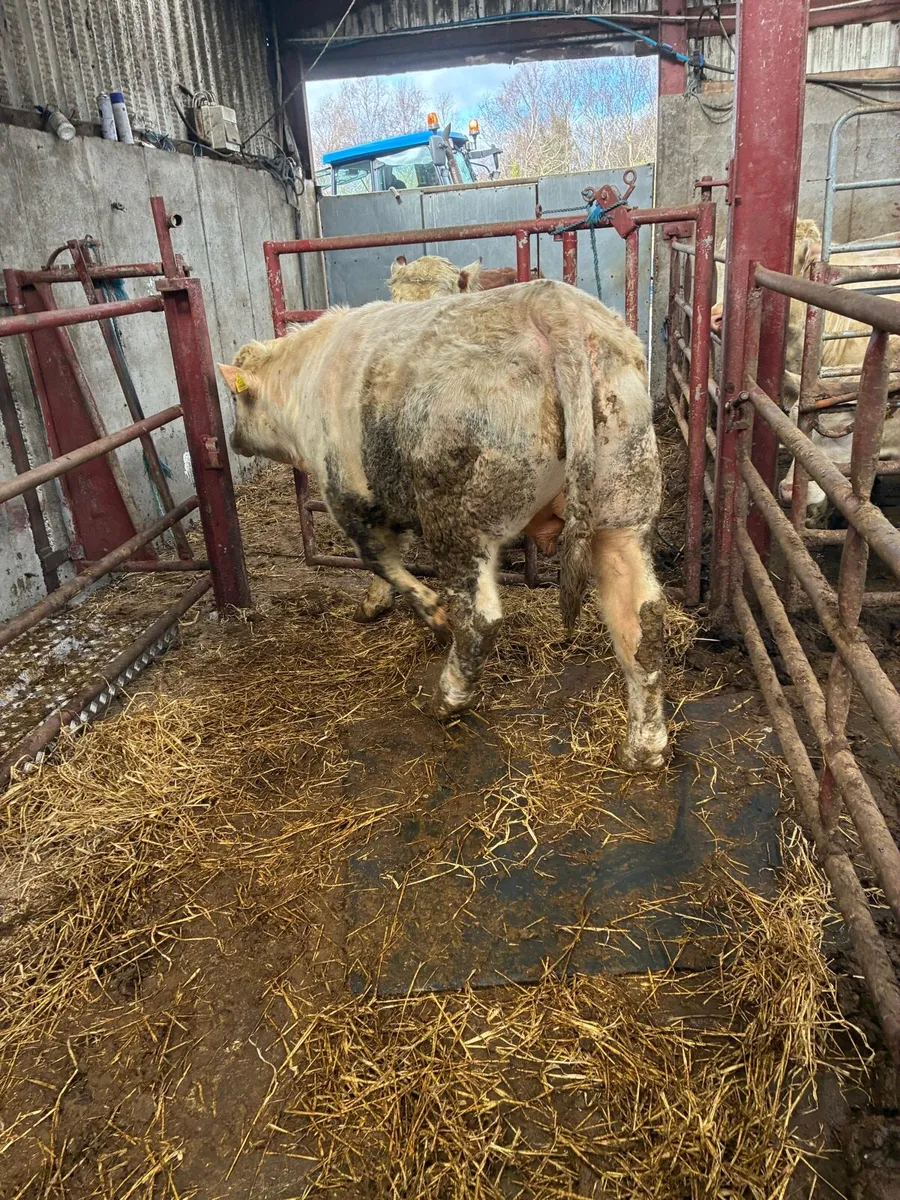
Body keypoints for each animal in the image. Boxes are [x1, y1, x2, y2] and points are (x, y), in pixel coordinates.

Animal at [219, 279, 668, 771]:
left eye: (237, 399)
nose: (234, 440)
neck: (309, 374)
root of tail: (553, 305)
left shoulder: (350, 498)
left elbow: (379, 560)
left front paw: (423, 612)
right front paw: (377, 603)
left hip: (460, 522)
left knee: (480, 619)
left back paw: (447, 699)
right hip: (624, 508)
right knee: (642, 621)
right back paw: (644, 749)